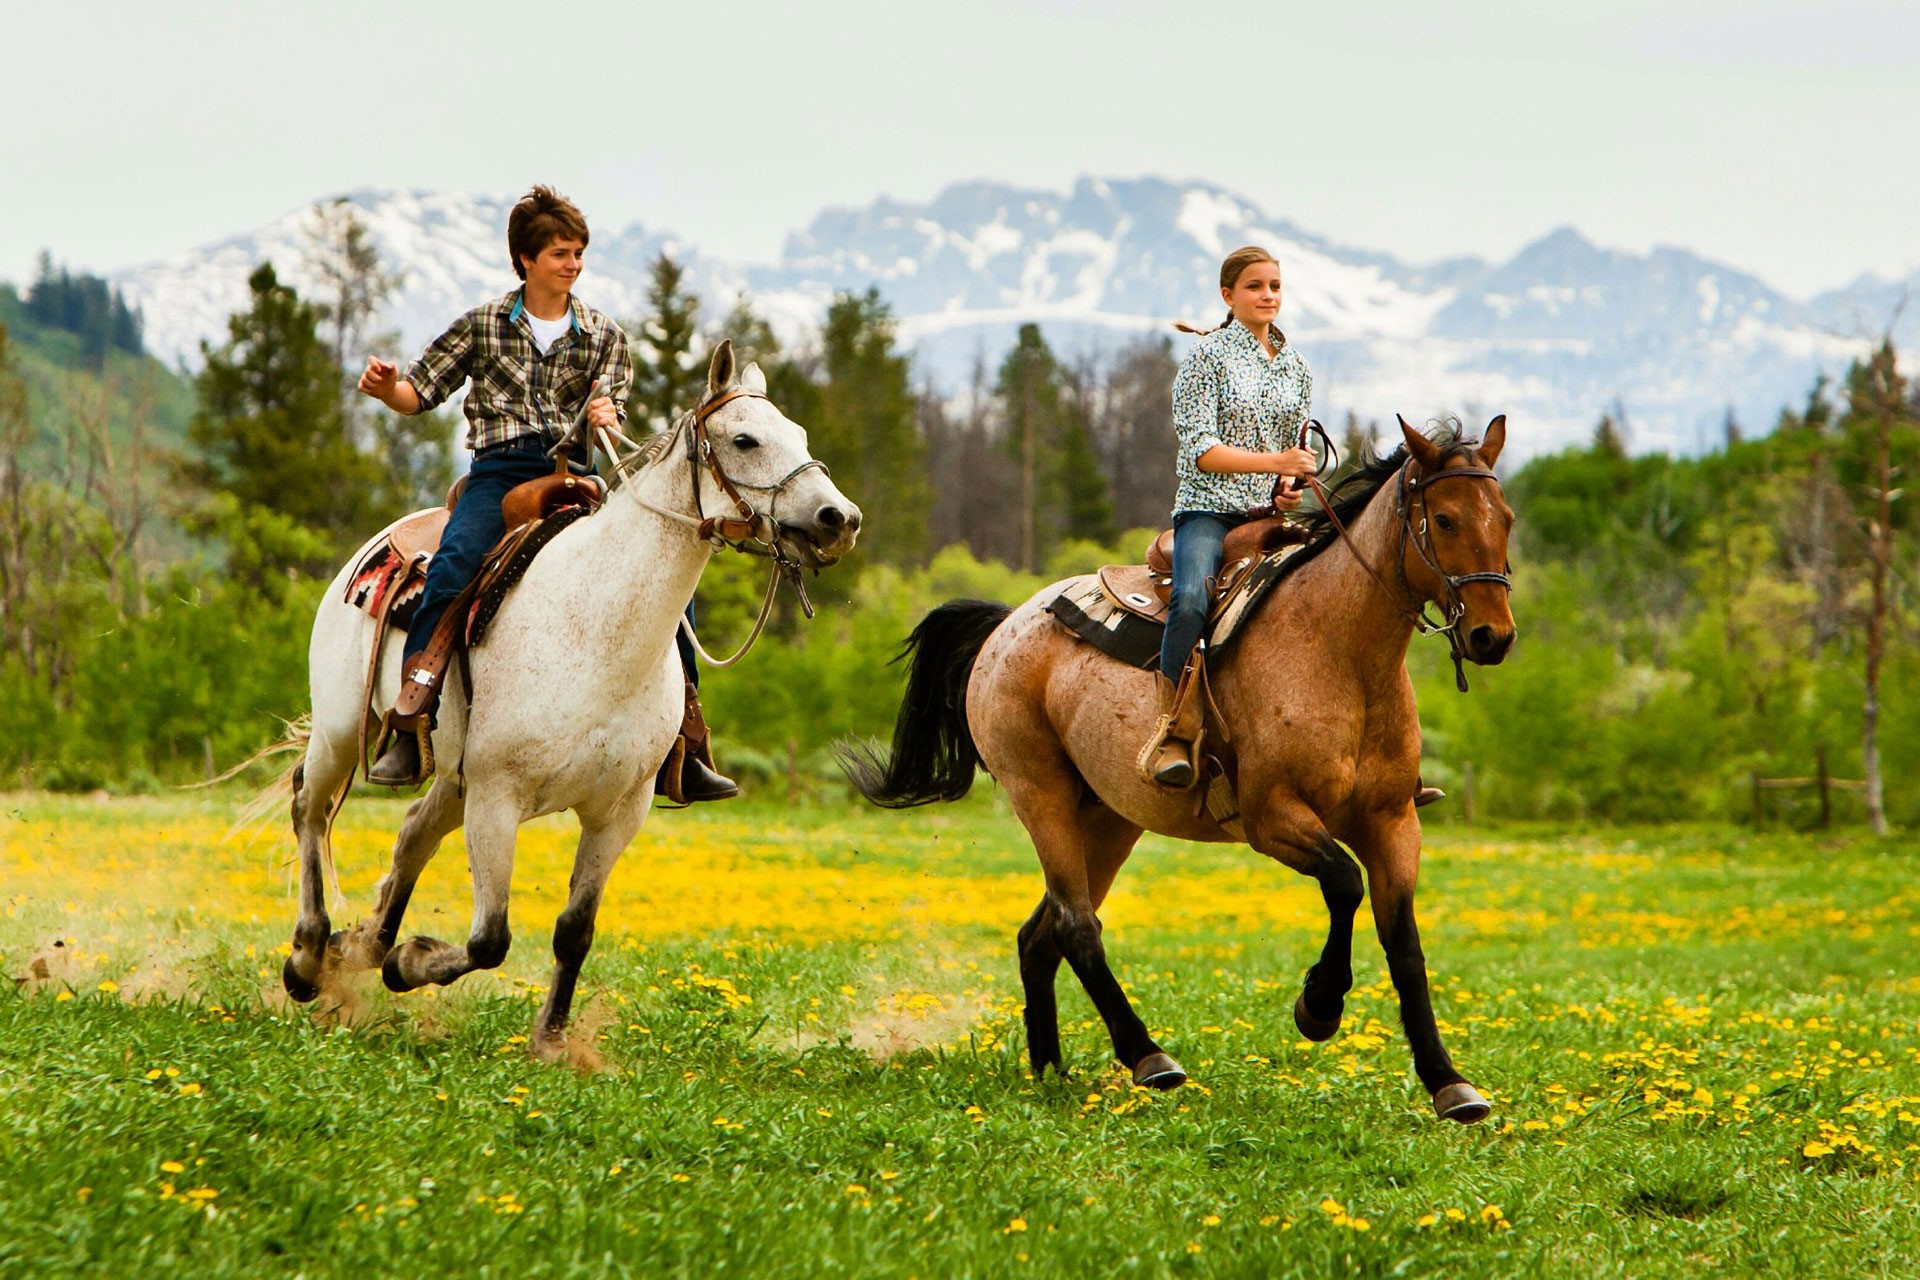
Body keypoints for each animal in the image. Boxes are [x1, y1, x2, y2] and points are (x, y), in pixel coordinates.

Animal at [280, 341, 861, 1059]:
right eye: (744, 439)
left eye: (799, 435)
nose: (840, 520)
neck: (598, 627)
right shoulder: (498, 798)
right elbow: (490, 939)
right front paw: (410, 961)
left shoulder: (617, 812)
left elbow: (573, 932)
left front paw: (552, 1042)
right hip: (342, 733)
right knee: (309, 809)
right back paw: (309, 956)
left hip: (452, 779)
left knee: (413, 832)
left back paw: (358, 945)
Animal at [844, 416, 1514, 1122]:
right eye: (1444, 519)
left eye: (1505, 517)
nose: (1493, 636)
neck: (1339, 653)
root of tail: (1007, 627)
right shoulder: (1272, 817)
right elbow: (1343, 882)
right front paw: (1318, 1006)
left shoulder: (1392, 821)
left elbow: (1404, 943)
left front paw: (1448, 1082)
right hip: (1041, 796)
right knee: (1076, 926)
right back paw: (1149, 1057)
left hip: (1107, 819)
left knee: (1041, 934)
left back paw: (1051, 1071)